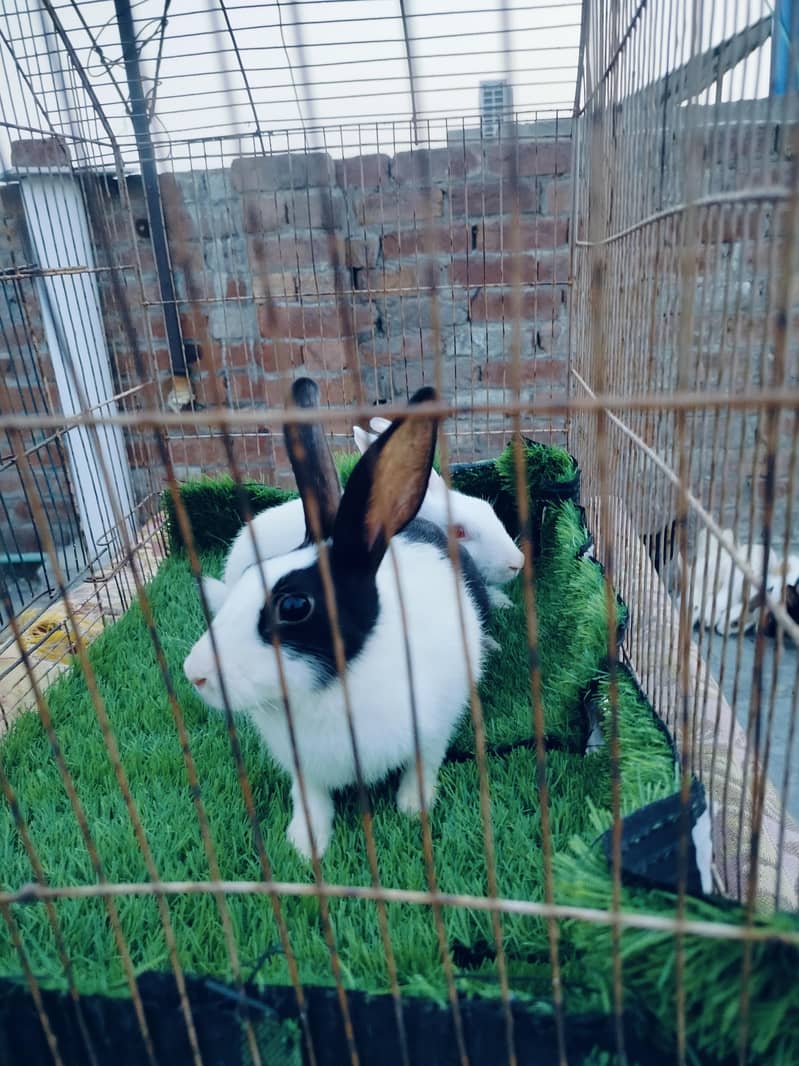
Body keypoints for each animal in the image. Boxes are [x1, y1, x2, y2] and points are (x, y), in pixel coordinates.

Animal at [185, 378, 492, 861]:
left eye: (294, 607)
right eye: (250, 573)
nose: (194, 674)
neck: (332, 686)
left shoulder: (435, 724)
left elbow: (424, 764)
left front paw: (413, 807)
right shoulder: (302, 765)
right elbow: (310, 797)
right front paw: (305, 845)